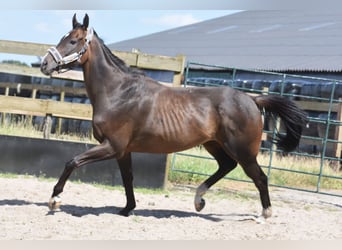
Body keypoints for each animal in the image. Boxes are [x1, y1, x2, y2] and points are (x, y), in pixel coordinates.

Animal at [40, 13, 308, 218]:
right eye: (63, 37)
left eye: (74, 40)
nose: (44, 64)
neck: (118, 92)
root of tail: (251, 99)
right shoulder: (123, 151)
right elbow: (128, 178)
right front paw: (127, 209)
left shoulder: (112, 146)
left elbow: (72, 161)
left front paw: (55, 200)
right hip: (214, 144)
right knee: (226, 166)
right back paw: (199, 200)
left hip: (244, 151)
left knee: (260, 177)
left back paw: (265, 214)